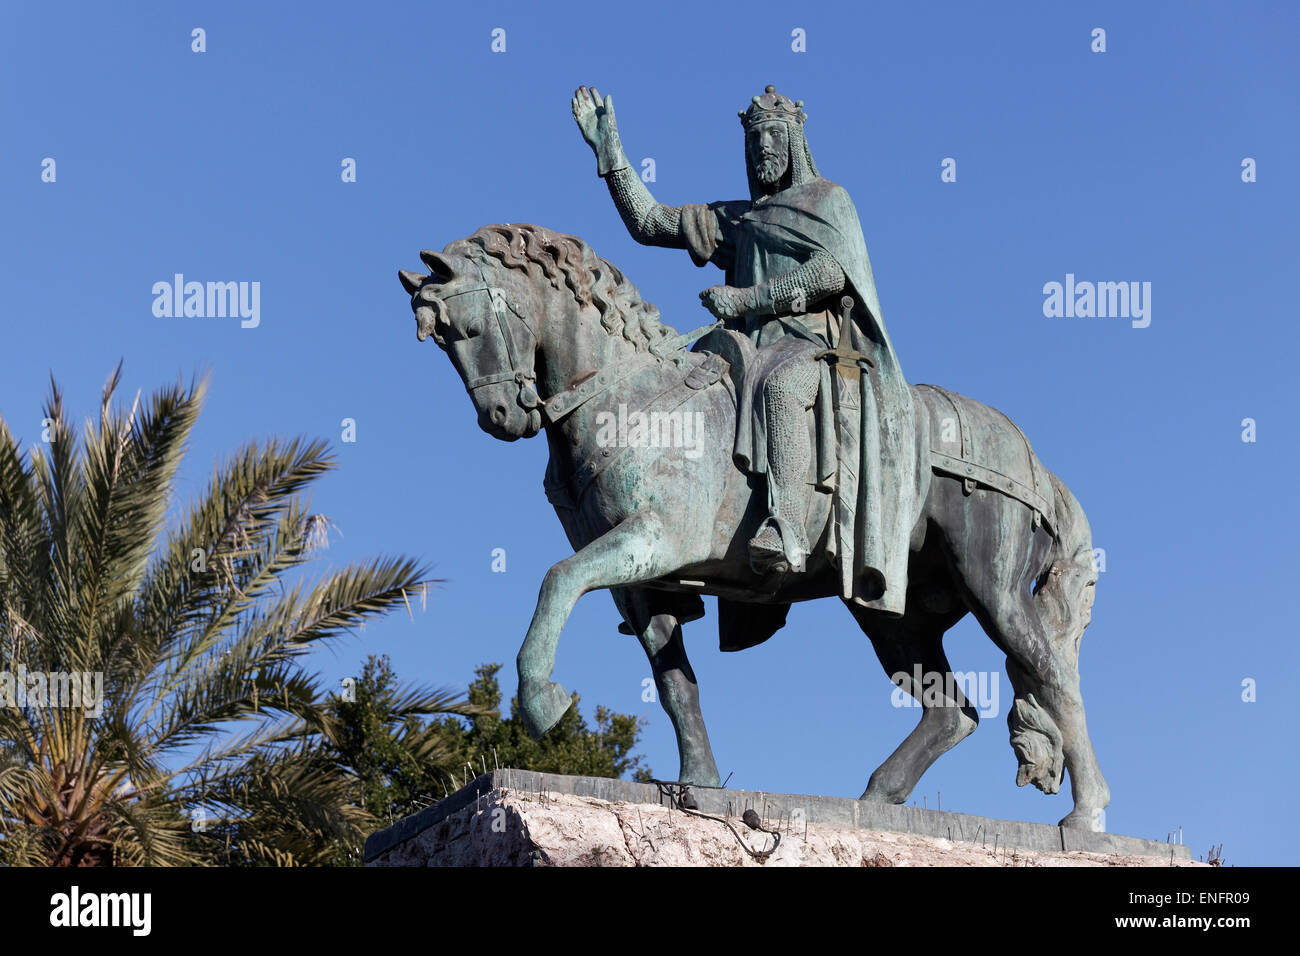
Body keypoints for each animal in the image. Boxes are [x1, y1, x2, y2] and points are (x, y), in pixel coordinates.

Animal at [400, 218, 1112, 832]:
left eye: (467, 326)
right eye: (440, 340)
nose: (502, 417)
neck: (630, 398)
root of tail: (1034, 461)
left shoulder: (657, 539)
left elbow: (557, 579)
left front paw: (541, 699)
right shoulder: (643, 582)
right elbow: (675, 684)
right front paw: (699, 779)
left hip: (990, 587)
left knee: (1053, 675)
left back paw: (1087, 819)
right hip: (888, 609)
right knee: (953, 712)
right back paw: (875, 798)